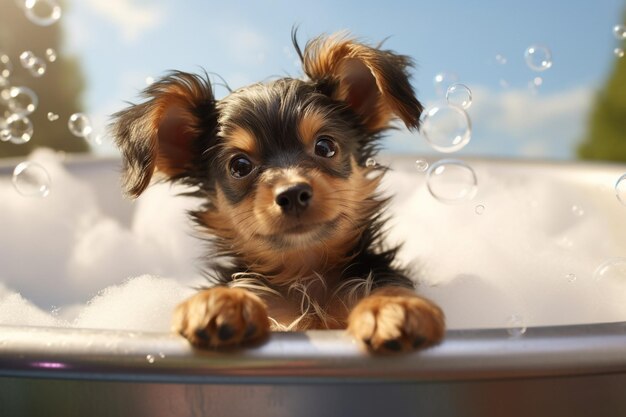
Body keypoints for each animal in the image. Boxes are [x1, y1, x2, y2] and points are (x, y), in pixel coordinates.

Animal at [112, 30, 444, 352]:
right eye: (239, 166)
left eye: (325, 147)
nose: (293, 193)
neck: (306, 277)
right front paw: (223, 301)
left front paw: (391, 306)